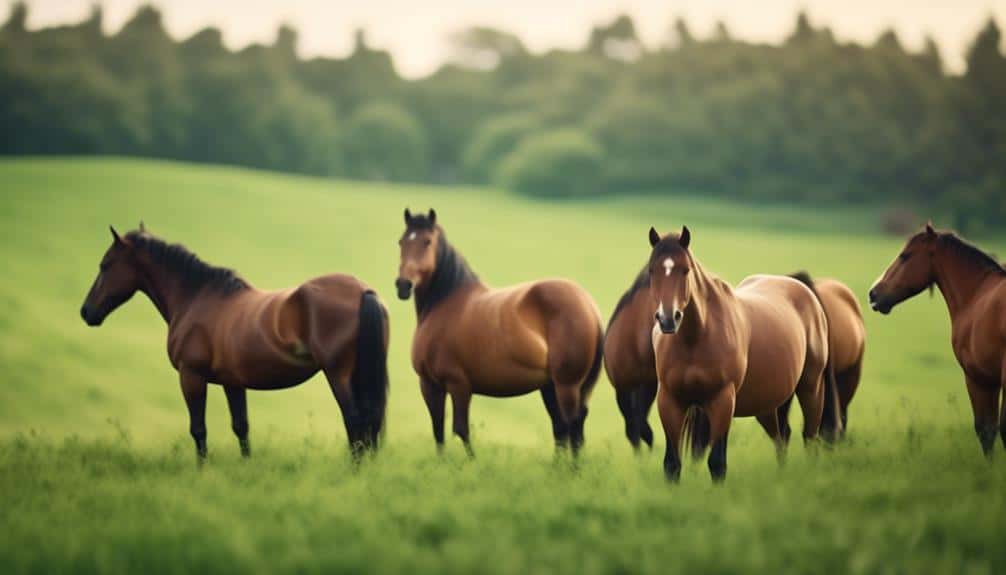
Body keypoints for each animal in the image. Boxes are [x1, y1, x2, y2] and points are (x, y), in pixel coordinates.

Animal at [80, 224, 389, 461]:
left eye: (105, 265)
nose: (86, 312)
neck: (197, 298)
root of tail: (363, 291)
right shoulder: (233, 382)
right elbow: (241, 427)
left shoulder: (191, 376)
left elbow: (198, 429)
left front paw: (203, 471)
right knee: (369, 420)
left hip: (338, 375)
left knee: (355, 421)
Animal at [395, 209, 604, 455]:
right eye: (401, 242)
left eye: (427, 241)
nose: (403, 285)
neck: (444, 303)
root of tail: (589, 306)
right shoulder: (431, 385)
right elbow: (439, 433)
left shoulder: (455, 385)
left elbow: (461, 430)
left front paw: (471, 462)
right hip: (552, 386)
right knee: (562, 428)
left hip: (566, 385)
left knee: (573, 425)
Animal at [647, 226, 835, 481]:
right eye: (652, 271)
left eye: (685, 270)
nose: (668, 319)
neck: (696, 338)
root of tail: (804, 290)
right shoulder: (670, 401)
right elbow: (672, 464)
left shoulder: (723, 400)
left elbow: (717, 463)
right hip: (767, 402)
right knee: (782, 436)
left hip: (811, 387)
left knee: (810, 436)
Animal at [869, 222, 1006, 456]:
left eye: (905, 256)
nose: (873, 293)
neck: (976, 293)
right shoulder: (990, 381)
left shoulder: (977, 378)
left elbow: (986, 431)